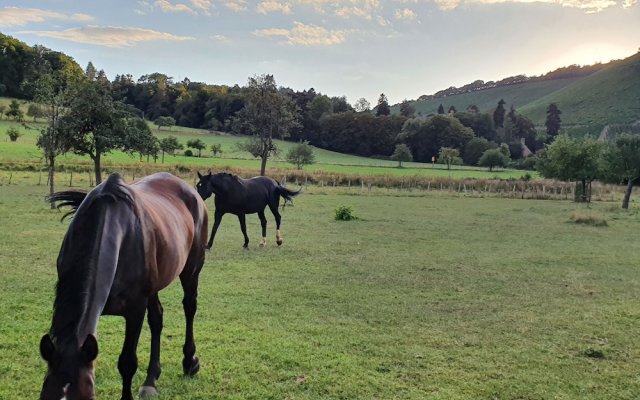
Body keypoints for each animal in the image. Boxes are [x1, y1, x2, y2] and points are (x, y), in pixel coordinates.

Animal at [39, 172, 208, 400]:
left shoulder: (135, 310)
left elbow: (127, 362)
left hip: (192, 268)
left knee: (189, 307)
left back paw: (190, 362)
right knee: (157, 319)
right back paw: (151, 379)